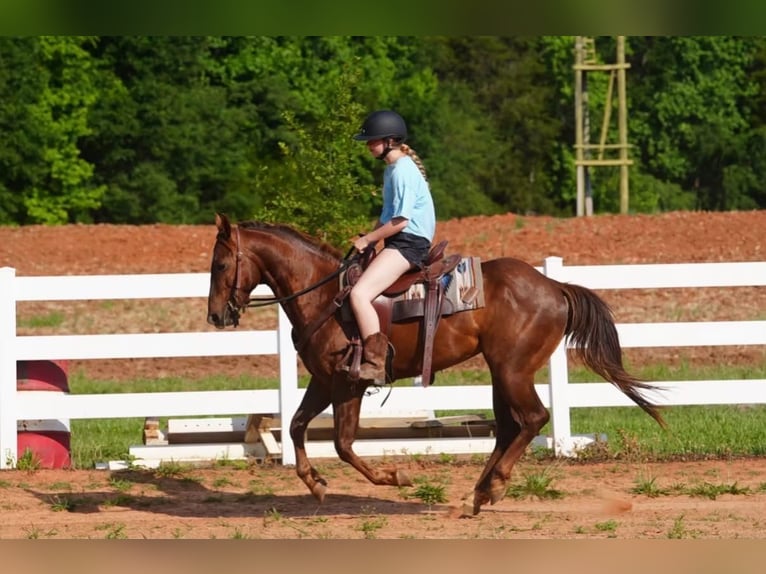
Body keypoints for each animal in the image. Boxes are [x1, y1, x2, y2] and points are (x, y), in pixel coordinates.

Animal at [206, 212, 666, 516]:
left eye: (221, 263)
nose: (215, 316)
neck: (326, 297)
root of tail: (553, 285)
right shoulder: (324, 381)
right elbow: (297, 426)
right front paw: (315, 484)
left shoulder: (349, 384)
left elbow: (343, 443)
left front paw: (395, 478)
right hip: (501, 372)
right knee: (509, 427)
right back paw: (478, 494)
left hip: (513, 370)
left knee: (533, 418)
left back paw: (494, 487)